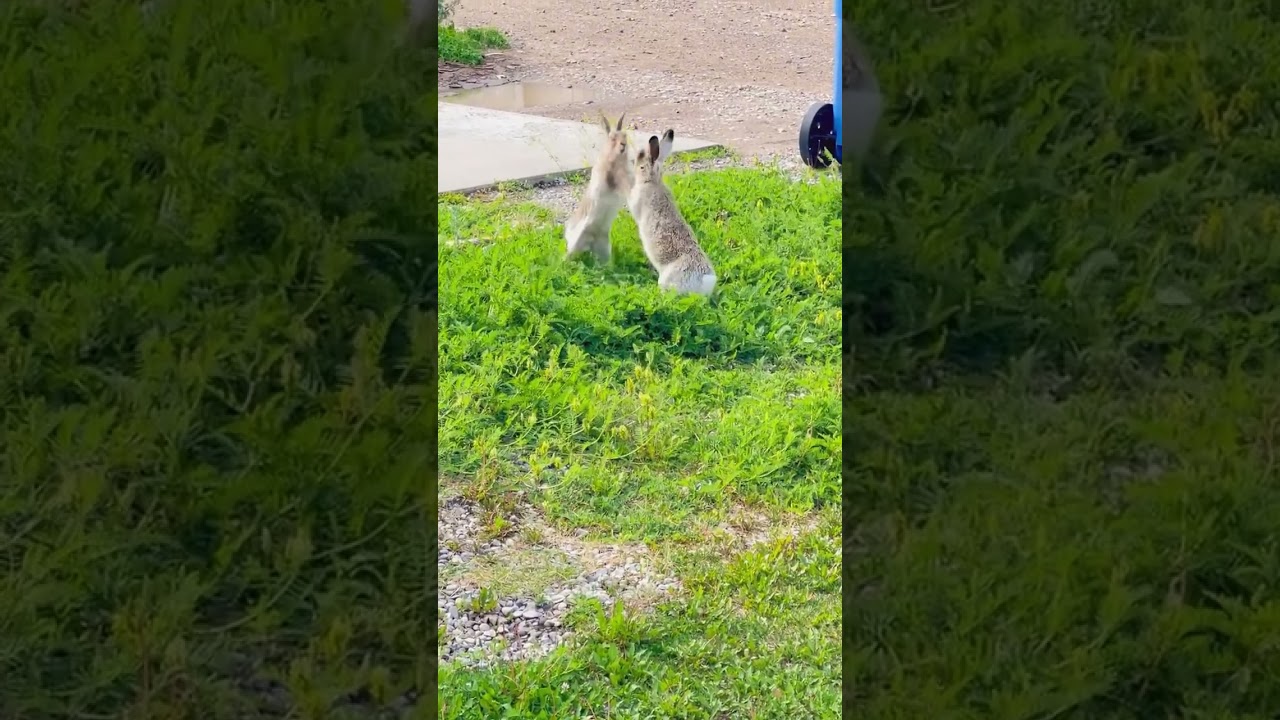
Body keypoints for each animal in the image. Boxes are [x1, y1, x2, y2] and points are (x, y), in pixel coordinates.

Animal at [564, 112, 631, 264]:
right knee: (570, 254)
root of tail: (590, 243)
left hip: (604, 245)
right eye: (612, 138)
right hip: (577, 240)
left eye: (625, 136)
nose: (623, 145)